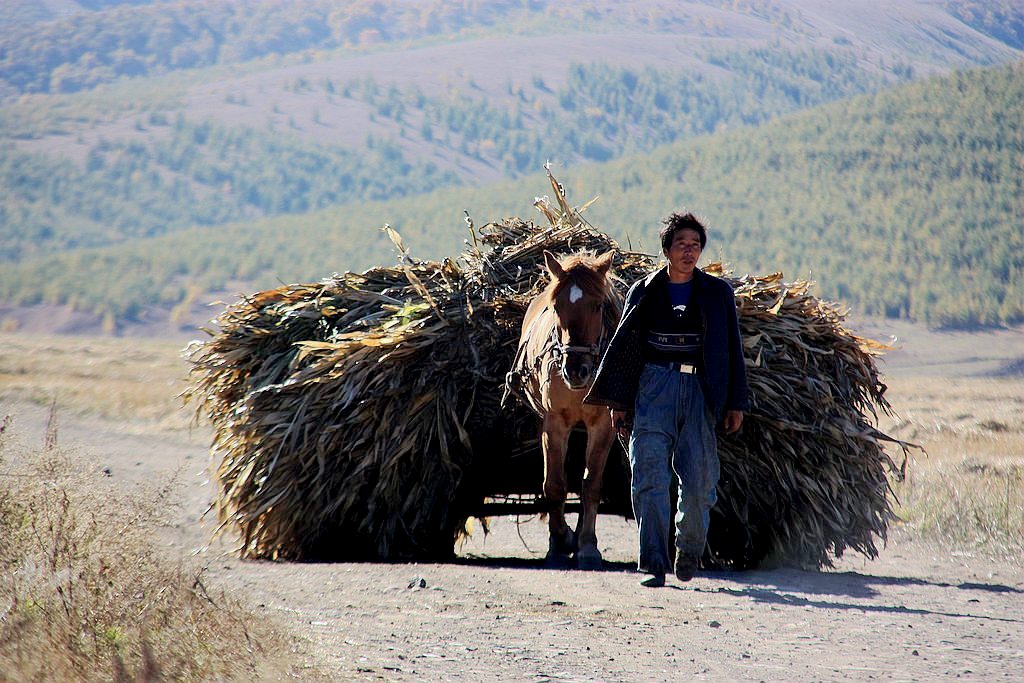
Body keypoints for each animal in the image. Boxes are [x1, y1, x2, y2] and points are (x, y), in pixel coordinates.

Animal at [509, 250, 618, 573]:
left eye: (598, 305)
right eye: (556, 306)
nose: (575, 369)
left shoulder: (603, 425)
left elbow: (591, 484)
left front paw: (587, 546)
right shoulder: (554, 422)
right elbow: (555, 484)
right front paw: (559, 544)